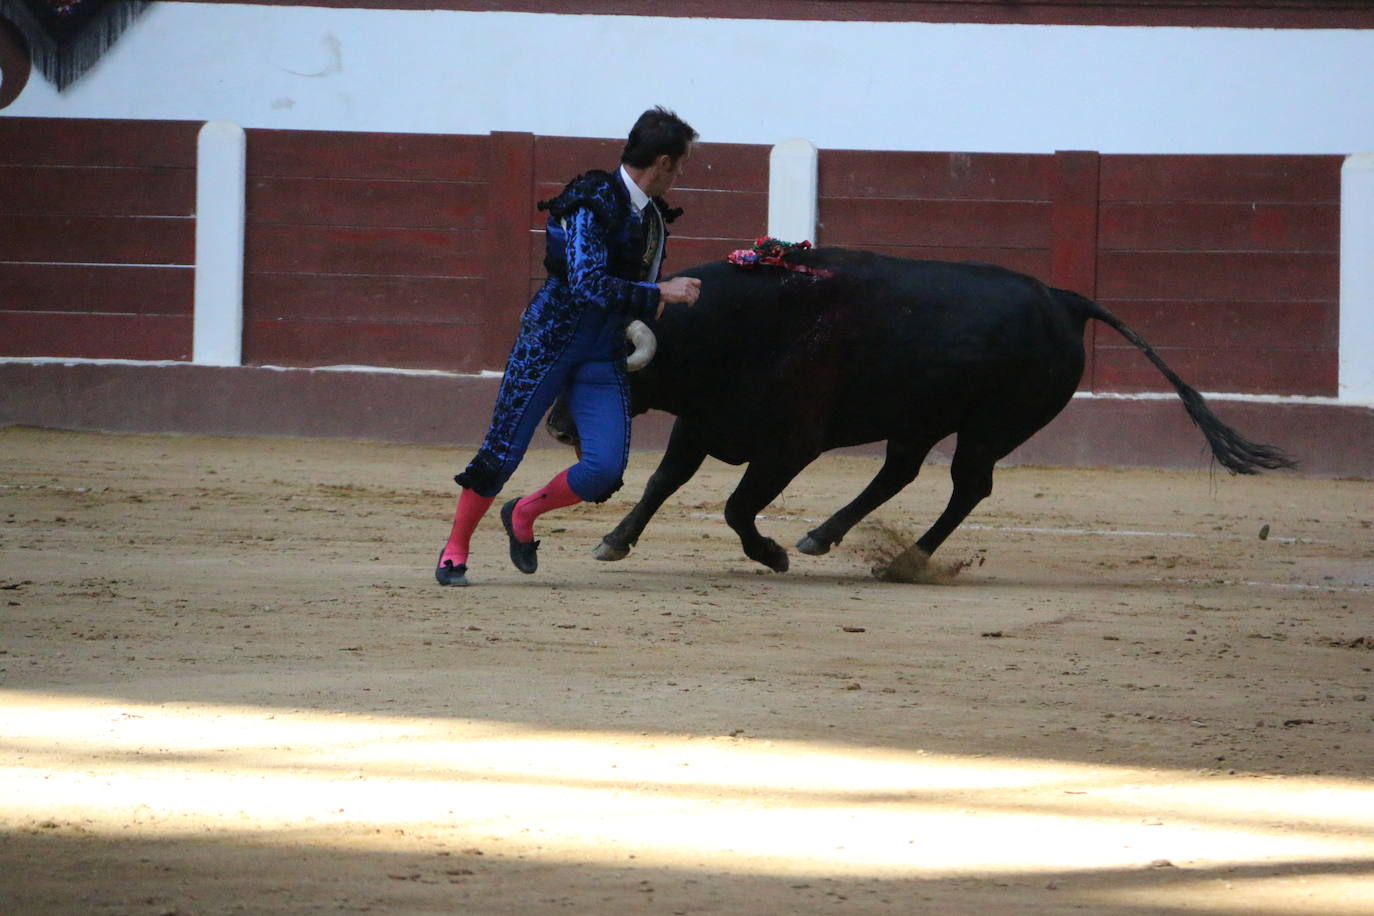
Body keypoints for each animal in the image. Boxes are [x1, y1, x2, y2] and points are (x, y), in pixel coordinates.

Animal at [544, 247, 1286, 576]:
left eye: (600, 374)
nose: (556, 427)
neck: (734, 327)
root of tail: (1065, 299)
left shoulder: (791, 443)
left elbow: (735, 506)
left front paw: (771, 553)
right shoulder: (702, 422)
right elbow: (661, 481)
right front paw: (614, 540)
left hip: (991, 428)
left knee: (968, 486)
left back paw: (902, 559)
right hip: (921, 422)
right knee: (899, 474)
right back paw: (825, 536)